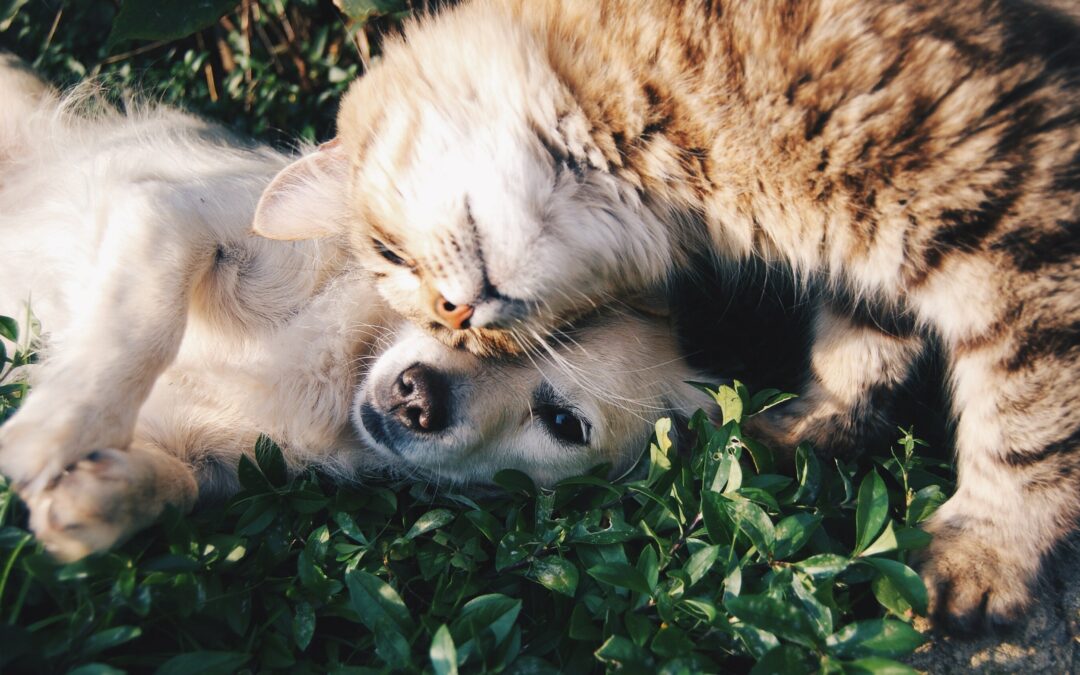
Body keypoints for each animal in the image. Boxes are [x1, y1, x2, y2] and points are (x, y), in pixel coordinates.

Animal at [0, 52, 712, 557]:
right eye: (455, 308)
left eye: (564, 424)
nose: (417, 397)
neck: (339, 370)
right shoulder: (170, 214)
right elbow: (141, 327)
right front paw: (55, 429)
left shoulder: (220, 459)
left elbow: (179, 484)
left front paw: (101, 498)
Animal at [252, 0, 1080, 630]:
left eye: (389, 253)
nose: (456, 316)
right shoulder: (878, 251)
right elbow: (858, 348)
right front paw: (809, 428)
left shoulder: (1017, 216)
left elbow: (1027, 425)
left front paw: (986, 550)